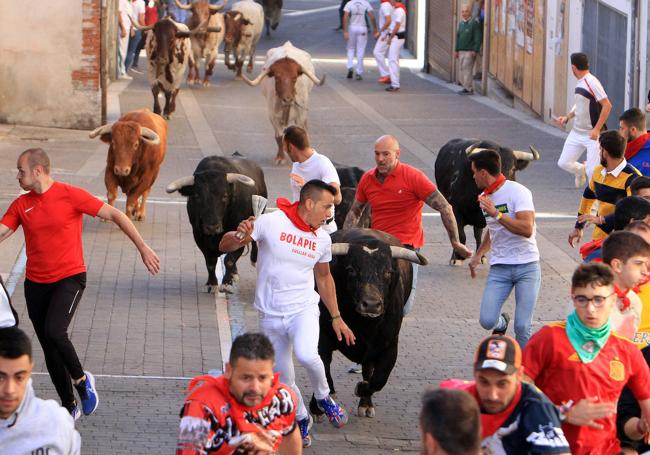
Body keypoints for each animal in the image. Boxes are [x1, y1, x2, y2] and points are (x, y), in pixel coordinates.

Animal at [168, 156, 270, 292]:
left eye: (225, 196)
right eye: (197, 196)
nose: (212, 227)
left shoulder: (239, 234)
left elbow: (229, 260)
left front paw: (226, 283)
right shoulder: (199, 236)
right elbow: (210, 262)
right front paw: (212, 284)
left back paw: (252, 260)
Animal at [308, 228, 426, 420]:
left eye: (388, 272)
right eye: (351, 269)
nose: (371, 304)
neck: (364, 325)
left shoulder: (389, 346)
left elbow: (379, 379)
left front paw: (362, 389)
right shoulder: (321, 338)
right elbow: (322, 370)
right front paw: (318, 407)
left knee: (368, 370)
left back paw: (366, 403)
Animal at [436, 137, 536, 266]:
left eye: (513, 168)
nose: (502, 183)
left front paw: (480, 256)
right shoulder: (455, 209)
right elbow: (460, 234)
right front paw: (457, 257)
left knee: (477, 233)